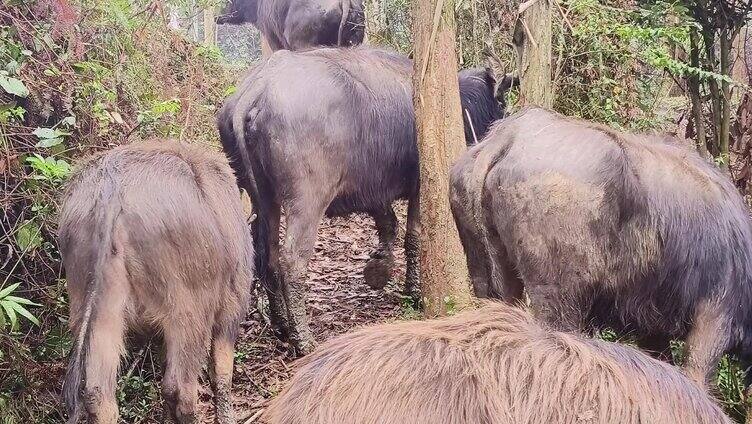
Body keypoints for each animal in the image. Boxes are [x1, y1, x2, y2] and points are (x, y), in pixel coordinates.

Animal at [58, 141, 253, 422]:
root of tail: (110, 185)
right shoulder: (231, 308)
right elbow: (221, 372)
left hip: (99, 305)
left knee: (98, 394)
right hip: (189, 310)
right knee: (181, 388)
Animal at [216, 46, 512, 352]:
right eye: (502, 100)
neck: (462, 102)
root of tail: (257, 89)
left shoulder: (375, 191)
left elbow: (388, 225)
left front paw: (379, 266)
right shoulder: (419, 187)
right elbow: (413, 236)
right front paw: (412, 289)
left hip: (263, 200)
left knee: (268, 256)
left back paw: (281, 325)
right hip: (305, 202)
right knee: (291, 261)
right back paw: (303, 338)